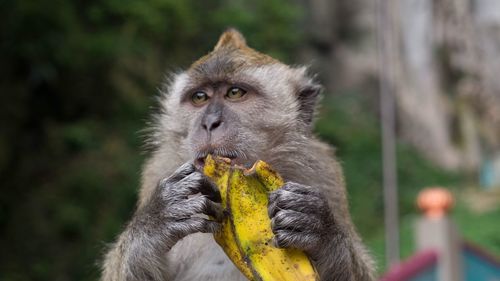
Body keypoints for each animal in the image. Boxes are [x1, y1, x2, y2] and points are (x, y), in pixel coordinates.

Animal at [102, 29, 376, 280]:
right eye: (199, 97)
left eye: (235, 93)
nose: (210, 122)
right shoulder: (158, 170)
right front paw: (157, 219)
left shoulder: (324, 171)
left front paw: (320, 228)